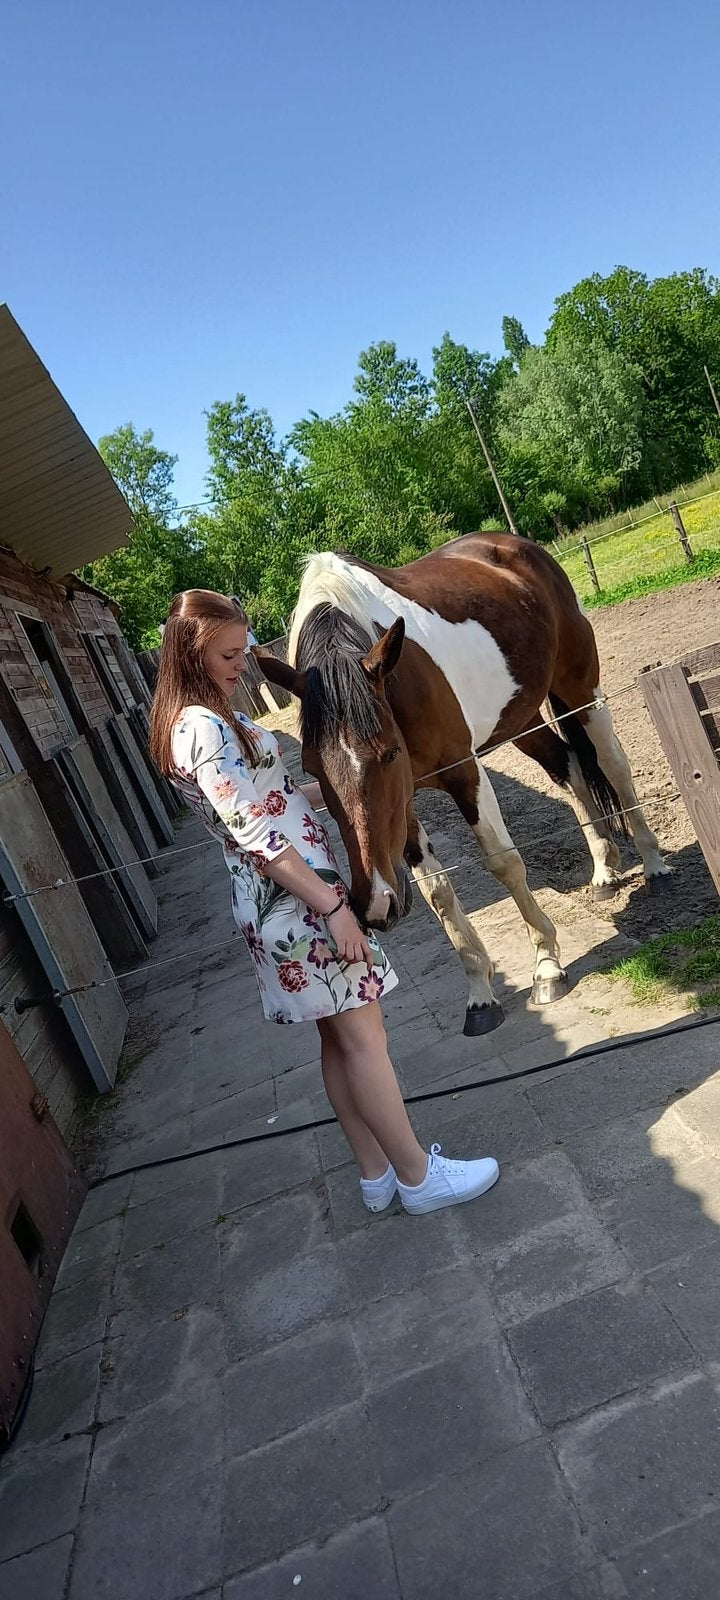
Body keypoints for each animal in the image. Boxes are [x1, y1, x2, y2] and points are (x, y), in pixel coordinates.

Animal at [259, 531, 669, 1037]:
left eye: (388, 753)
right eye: (313, 770)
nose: (375, 904)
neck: (398, 679)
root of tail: (515, 545)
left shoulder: (463, 771)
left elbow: (503, 862)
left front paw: (546, 966)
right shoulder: (406, 804)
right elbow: (437, 892)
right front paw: (480, 992)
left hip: (581, 691)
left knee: (613, 764)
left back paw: (654, 865)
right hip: (522, 719)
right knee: (568, 767)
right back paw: (603, 870)